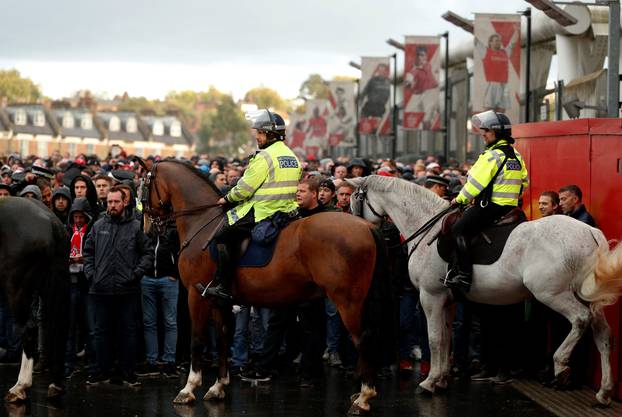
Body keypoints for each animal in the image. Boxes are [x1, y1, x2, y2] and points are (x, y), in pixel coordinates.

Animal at [139, 158, 394, 412]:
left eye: (143, 186)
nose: (147, 230)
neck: (202, 223)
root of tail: (367, 226)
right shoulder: (220, 301)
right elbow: (223, 339)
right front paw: (218, 386)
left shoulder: (196, 295)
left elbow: (197, 340)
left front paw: (189, 388)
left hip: (348, 302)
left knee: (363, 339)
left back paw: (364, 396)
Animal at [348, 175, 622, 404]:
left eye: (353, 199)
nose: (355, 227)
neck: (428, 228)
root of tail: (590, 231)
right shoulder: (447, 300)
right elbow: (446, 339)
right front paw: (441, 379)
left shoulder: (430, 297)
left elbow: (434, 339)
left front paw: (428, 382)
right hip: (588, 297)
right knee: (603, 334)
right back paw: (605, 392)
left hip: (553, 294)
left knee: (580, 320)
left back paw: (561, 364)